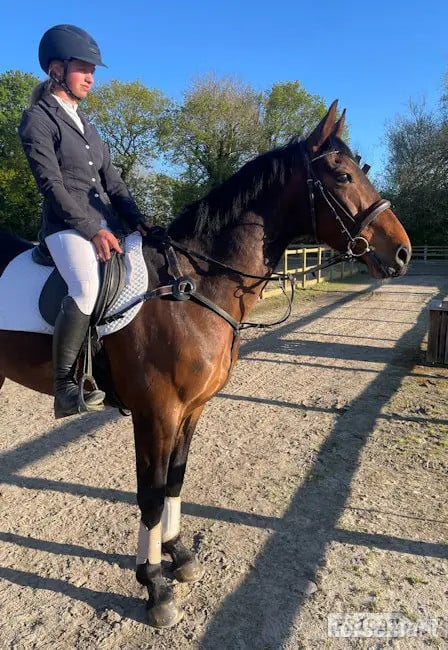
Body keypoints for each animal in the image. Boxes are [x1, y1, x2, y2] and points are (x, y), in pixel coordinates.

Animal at [0, 101, 411, 627]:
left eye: (363, 169)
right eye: (341, 175)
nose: (401, 252)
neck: (194, 286)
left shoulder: (191, 409)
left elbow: (175, 479)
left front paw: (178, 556)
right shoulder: (157, 414)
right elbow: (151, 493)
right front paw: (155, 586)